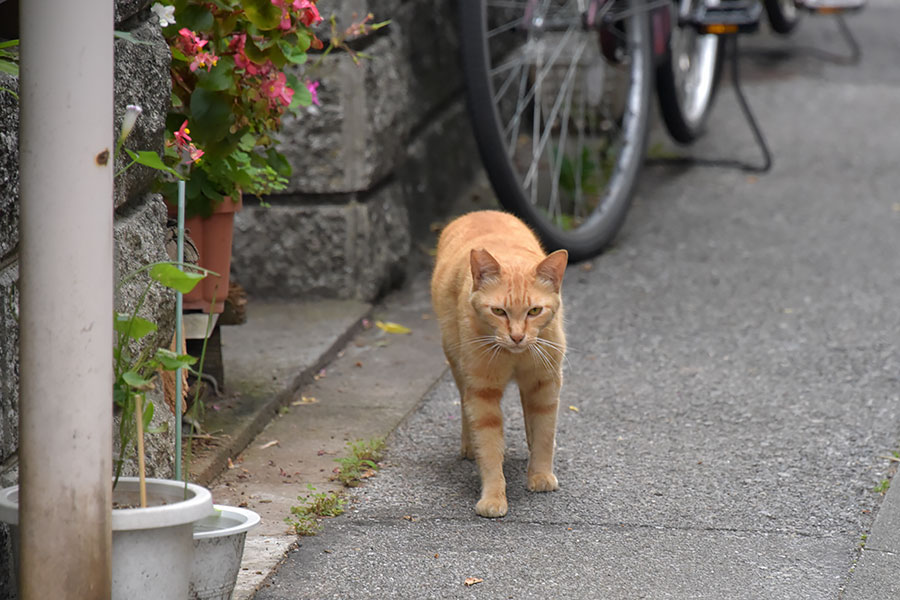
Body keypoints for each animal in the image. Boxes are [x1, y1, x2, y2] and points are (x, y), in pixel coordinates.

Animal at [430, 210, 568, 516]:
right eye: (498, 311)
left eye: (534, 311)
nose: (517, 336)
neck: (515, 357)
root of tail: (479, 212)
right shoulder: (482, 393)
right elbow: (489, 445)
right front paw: (493, 497)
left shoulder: (545, 382)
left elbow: (545, 430)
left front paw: (540, 474)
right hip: (457, 362)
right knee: (466, 409)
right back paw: (469, 446)